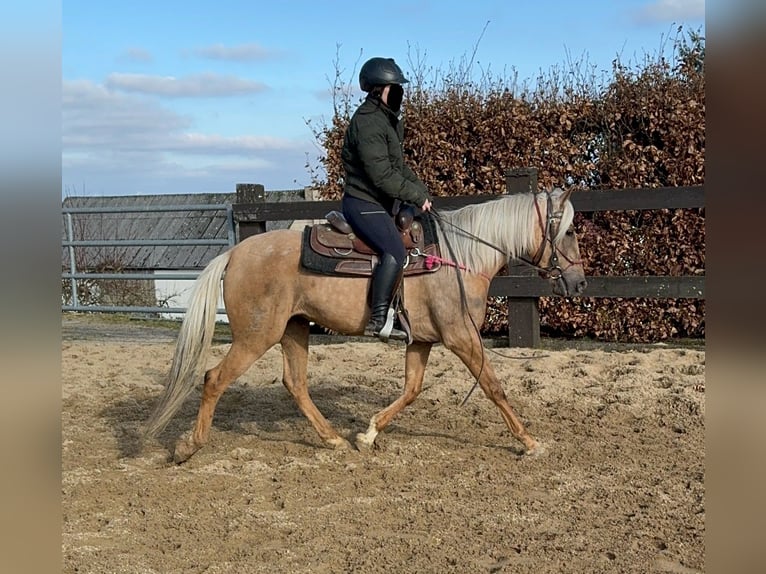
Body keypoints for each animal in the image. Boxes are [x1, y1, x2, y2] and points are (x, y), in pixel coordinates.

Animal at [144, 187, 588, 466]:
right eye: (568, 230)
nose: (580, 283)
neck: (459, 258)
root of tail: (235, 253)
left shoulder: (422, 341)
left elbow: (411, 390)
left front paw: (368, 434)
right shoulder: (461, 337)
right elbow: (494, 386)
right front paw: (529, 442)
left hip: (294, 329)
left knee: (295, 384)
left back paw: (333, 438)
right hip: (256, 336)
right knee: (214, 378)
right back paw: (189, 446)